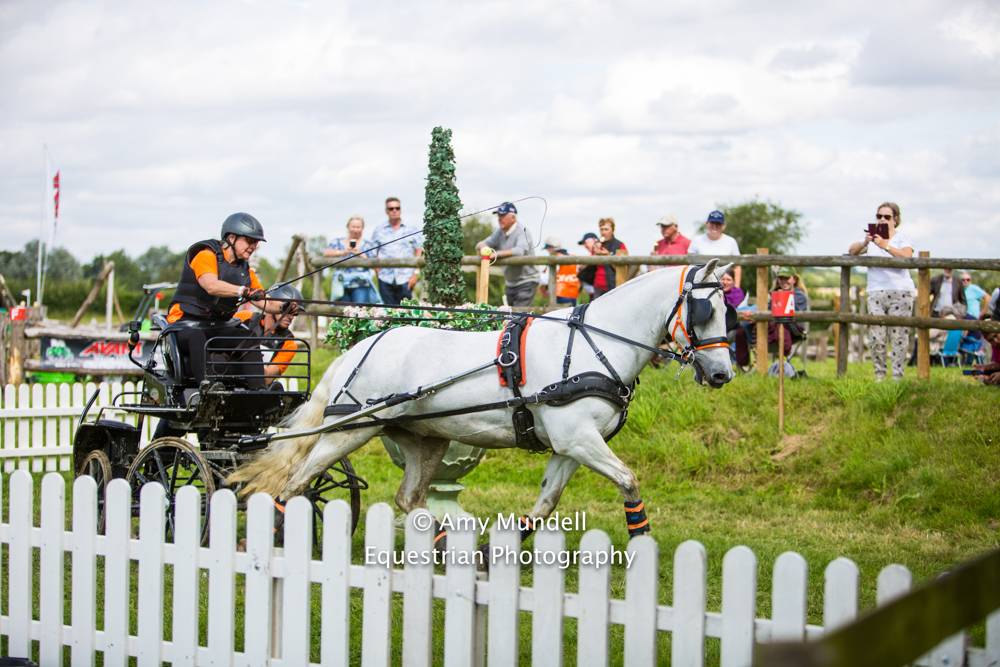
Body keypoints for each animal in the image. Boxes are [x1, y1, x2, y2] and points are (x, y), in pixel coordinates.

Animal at [229, 259, 735, 539]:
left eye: (729, 309)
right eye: (704, 310)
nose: (722, 373)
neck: (594, 344)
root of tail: (362, 346)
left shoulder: (571, 447)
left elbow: (544, 506)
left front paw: (495, 554)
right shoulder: (579, 439)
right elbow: (629, 481)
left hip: (422, 440)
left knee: (410, 498)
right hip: (351, 430)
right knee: (295, 484)